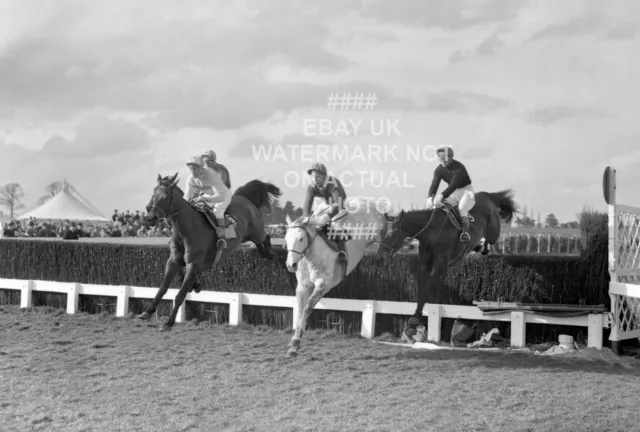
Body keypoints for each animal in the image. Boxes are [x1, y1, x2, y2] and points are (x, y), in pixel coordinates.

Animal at [136, 172, 282, 330]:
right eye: (153, 193)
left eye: (165, 196)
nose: (150, 217)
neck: (186, 230)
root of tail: (244, 197)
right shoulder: (173, 261)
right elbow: (163, 288)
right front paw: (147, 312)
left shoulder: (193, 264)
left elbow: (180, 295)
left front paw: (168, 323)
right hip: (246, 236)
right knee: (259, 243)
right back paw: (265, 253)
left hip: (257, 231)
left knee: (266, 237)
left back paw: (271, 253)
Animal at [372, 189, 516, 340]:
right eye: (381, 232)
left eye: (392, 235)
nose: (378, 259)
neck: (431, 231)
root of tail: (485, 195)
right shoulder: (424, 263)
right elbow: (421, 290)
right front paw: (416, 320)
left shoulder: (440, 265)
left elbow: (426, 289)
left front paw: (413, 320)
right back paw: (478, 247)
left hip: (494, 231)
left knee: (491, 239)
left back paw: (483, 247)